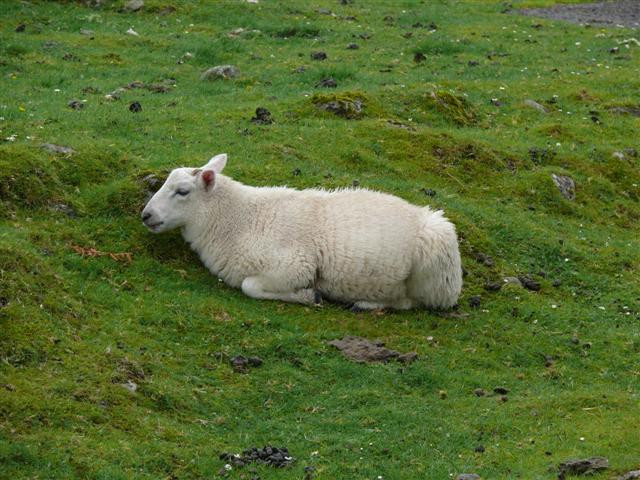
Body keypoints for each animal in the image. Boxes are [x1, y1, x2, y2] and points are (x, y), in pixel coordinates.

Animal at [141, 155, 460, 312]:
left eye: (182, 191)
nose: (146, 215)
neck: (239, 219)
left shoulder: (295, 265)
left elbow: (250, 286)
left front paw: (309, 296)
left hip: (434, 274)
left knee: (413, 302)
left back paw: (367, 303)